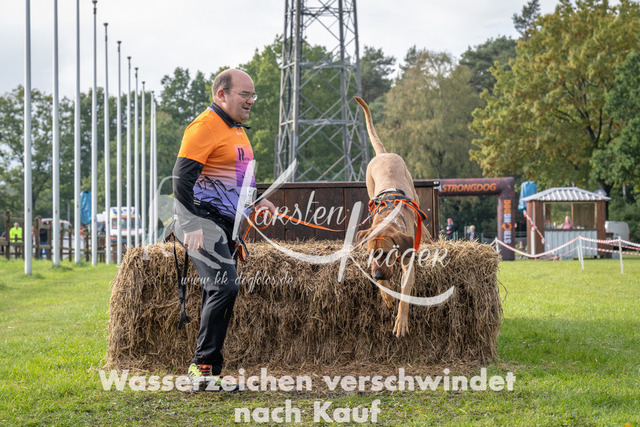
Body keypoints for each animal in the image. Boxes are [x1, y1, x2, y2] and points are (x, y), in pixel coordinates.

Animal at [354, 96, 431, 337]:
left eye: (388, 254)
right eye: (372, 254)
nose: (378, 275)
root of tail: (383, 154)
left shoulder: (408, 265)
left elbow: (405, 295)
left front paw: (401, 322)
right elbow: (384, 287)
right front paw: (386, 295)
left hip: (413, 188)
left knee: (420, 217)